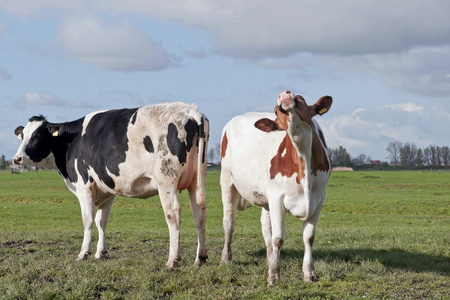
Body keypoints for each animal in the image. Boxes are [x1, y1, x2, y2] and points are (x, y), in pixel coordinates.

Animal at [13, 103, 209, 268]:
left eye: (37, 136)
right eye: (23, 136)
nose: (17, 158)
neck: (70, 142)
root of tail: (189, 110)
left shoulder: (84, 187)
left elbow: (88, 220)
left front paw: (83, 253)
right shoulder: (107, 191)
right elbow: (101, 221)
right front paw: (101, 253)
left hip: (166, 180)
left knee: (173, 214)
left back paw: (172, 260)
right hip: (196, 180)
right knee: (199, 212)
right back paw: (200, 258)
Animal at [220, 91, 332, 284]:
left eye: (302, 98)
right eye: (275, 110)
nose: (283, 95)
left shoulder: (318, 199)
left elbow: (308, 237)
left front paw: (309, 272)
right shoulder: (277, 197)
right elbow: (279, 238)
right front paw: (274, 275)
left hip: (266, 199)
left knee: (266, 228)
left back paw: (269, 259)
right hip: (227, 179)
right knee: (229, 221)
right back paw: (226, 258)